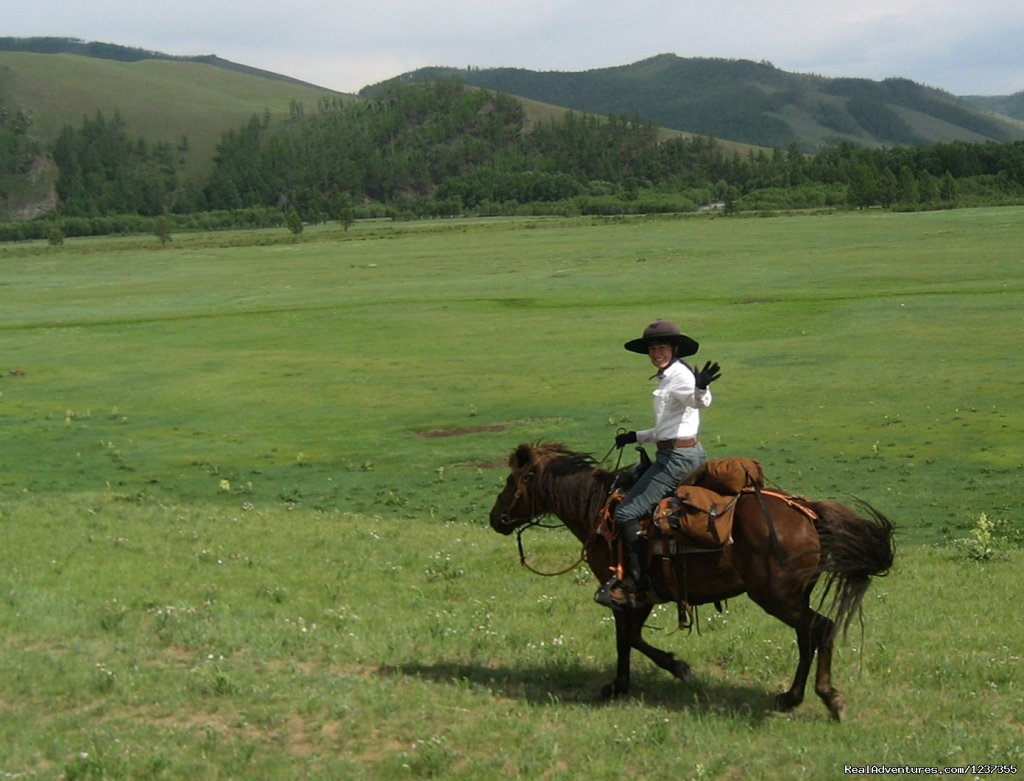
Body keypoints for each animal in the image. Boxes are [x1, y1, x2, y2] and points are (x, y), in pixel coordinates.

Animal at [489, 442, 897, 724]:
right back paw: (789, 697)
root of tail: (807, 512)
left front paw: (635, 681)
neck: (599, 510)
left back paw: (829, 698)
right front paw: (658, 672)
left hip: (777, 597)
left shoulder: (623, 593)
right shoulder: (645, 595)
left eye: (511, 481)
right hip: (793, 597)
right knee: (806, 637)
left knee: (820, 629)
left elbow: (626, 639)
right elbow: (632, 637)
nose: (496, 519)